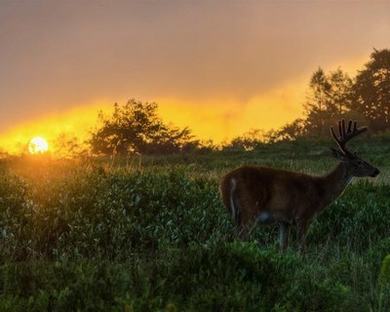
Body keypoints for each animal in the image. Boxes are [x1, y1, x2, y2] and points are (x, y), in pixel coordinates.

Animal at [221, 119, 380, 251]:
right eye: (359, 162)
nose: (376, 170)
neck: (321, 191)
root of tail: (229, 180)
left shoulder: (284, 220)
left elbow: (283, 247)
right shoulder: (304, 215)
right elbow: (301, 248)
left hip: (236, 213)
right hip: (250, 209)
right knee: (240, 238)